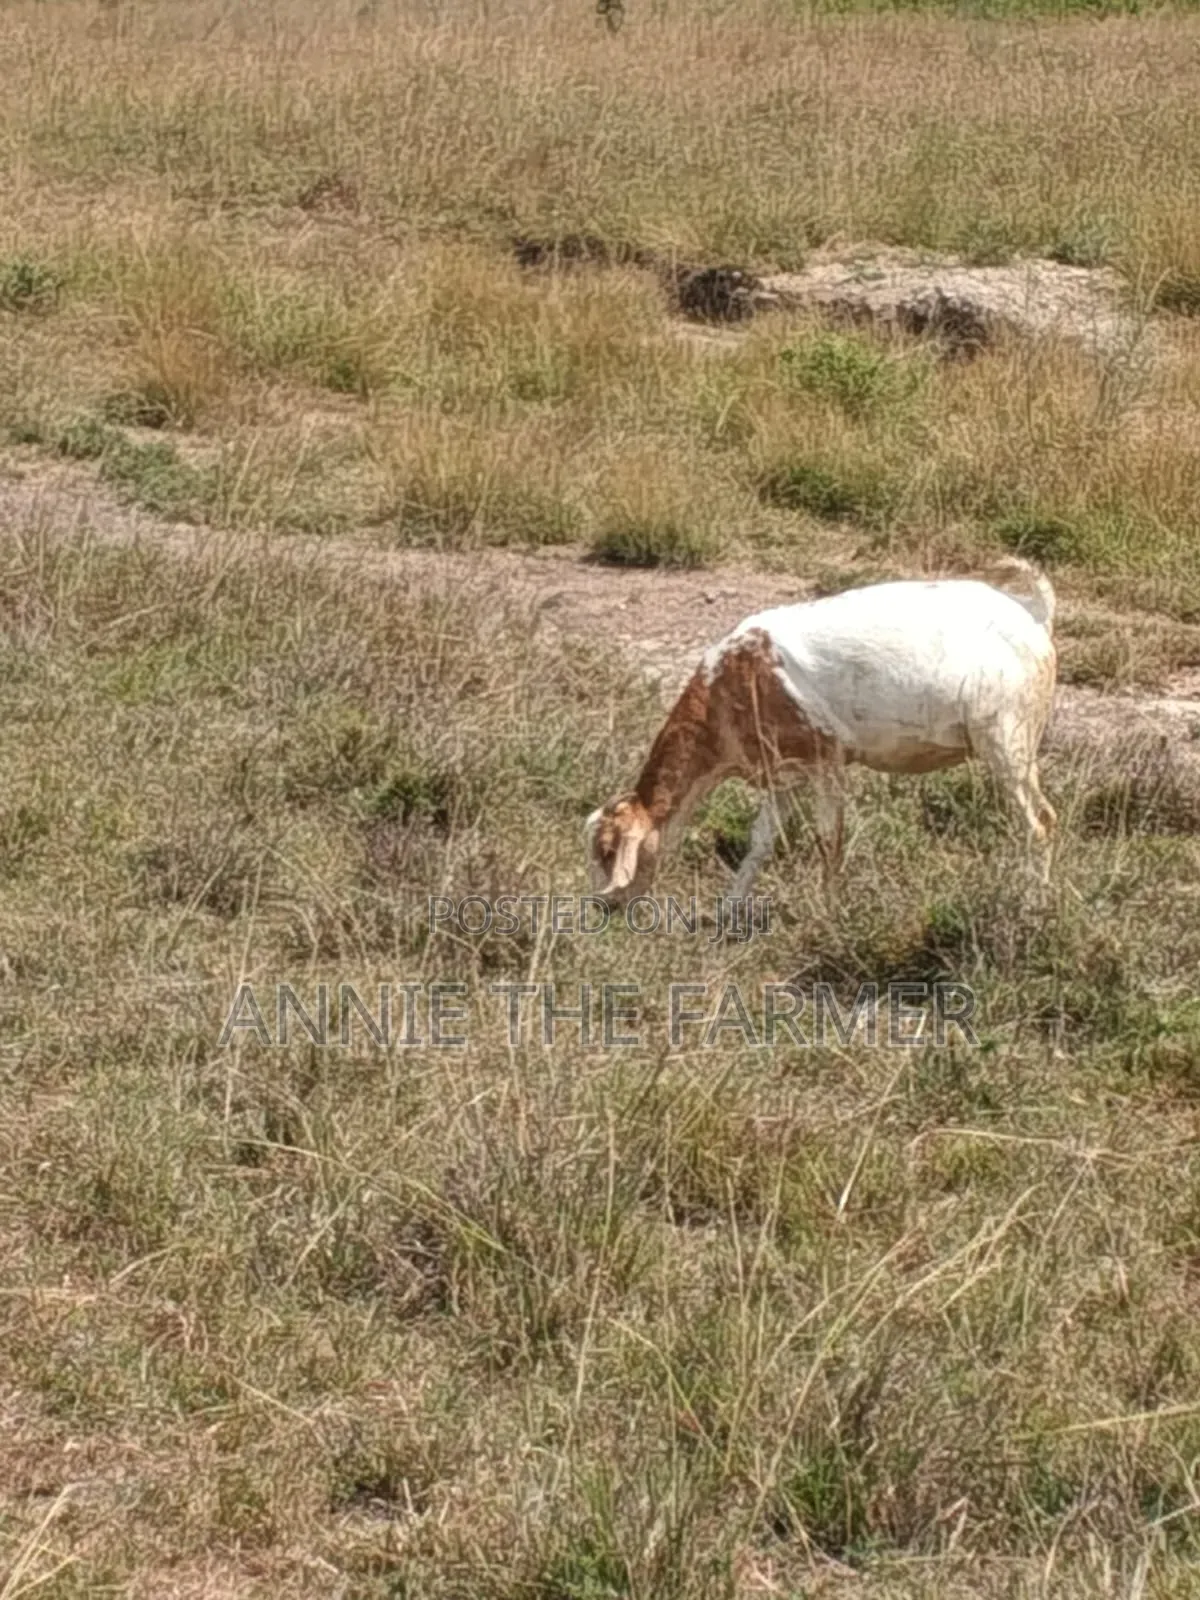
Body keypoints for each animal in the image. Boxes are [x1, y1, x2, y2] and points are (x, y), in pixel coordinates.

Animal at [586, 559, 1057, 904]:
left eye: (607, 851)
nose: (602, 905)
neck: (736, 682)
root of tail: (1032, 617)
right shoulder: (783, 776)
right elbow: (760, 843)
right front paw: (729, 909)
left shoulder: (825, 762)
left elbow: (828, 839)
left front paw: (829, 909)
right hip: (1020, 748)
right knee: (1046, 817)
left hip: (1005, 743)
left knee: (1036, 825)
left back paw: (1033, 896)